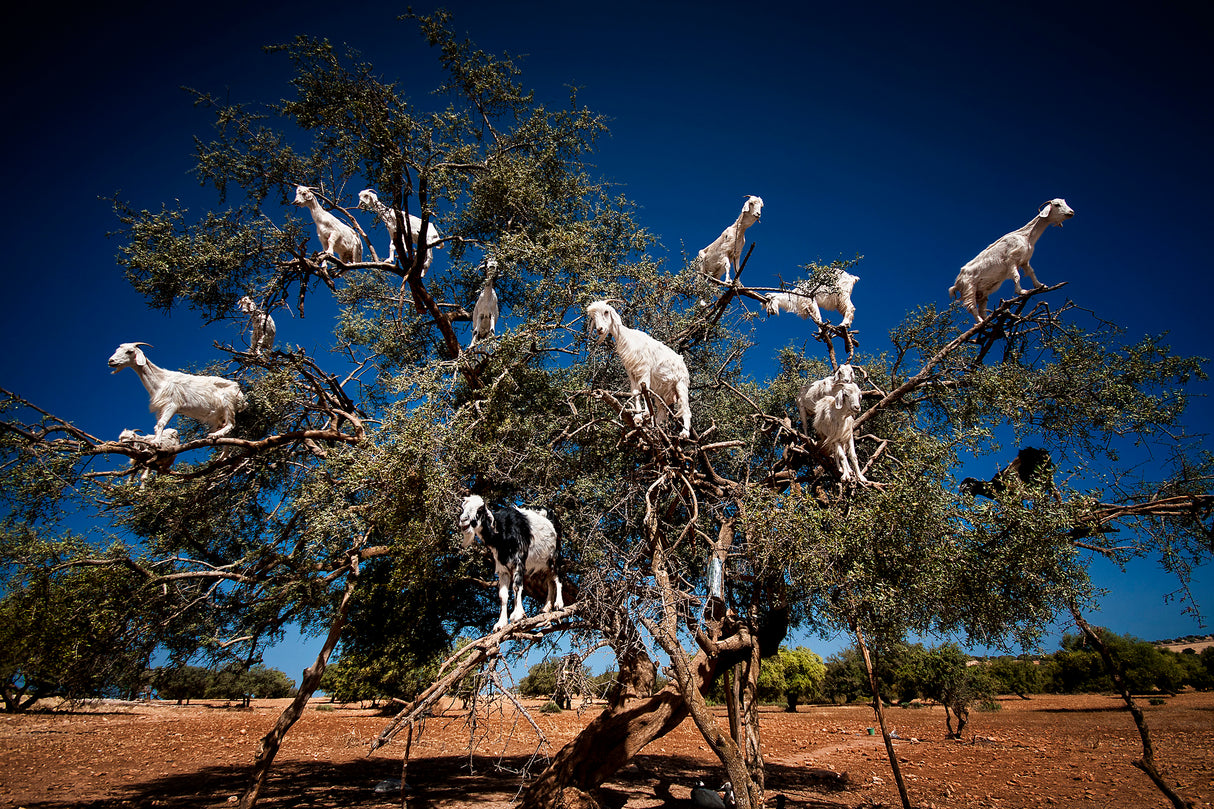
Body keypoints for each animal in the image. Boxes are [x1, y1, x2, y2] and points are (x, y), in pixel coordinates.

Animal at [107, 343, 245, 440]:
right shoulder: (161, 408)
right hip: (218, 416)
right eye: (117, 350)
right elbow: (156, 426)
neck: (161, 380)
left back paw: (214, 436)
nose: (111, 361)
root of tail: (241, 394)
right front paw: (155, 442)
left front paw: (156, 443)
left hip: (228, 404)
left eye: (129, 351)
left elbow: (161, 424)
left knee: (231, 424)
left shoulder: (172, 405)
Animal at [458, 494, 564, 630]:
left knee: (558, 578)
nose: (463, 520)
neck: (502, 531)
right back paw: (546, 607)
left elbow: (517, 587)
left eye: (480, 509)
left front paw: (517, 615)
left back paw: (559, 604)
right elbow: (502, 595)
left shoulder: (519, 562)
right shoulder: (503, 568)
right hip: (544, 563)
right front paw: (500, 623)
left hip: (554, 556)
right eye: (463, 507)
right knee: (550, 580)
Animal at [586, 300, 692, 438]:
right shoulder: (632, 372)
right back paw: (654, 425)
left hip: (681, 385)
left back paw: (684, 433)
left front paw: (645, 413)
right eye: (592, 317)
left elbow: (644, 390)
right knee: (662, 411)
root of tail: (682, 361)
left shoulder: (645, 369)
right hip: (660, 392)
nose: (599, 329)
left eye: (606, 311)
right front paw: (638, 417)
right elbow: (636, 393)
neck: (627, 338)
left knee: (686, 409)